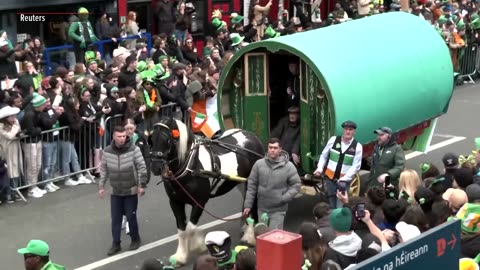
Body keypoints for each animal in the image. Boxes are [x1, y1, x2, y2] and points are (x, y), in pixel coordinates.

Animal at [149, 116, 264, 266]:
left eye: (168, 139)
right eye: (151, 139)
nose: (155, 167)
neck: (191, 166)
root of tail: (252, 137)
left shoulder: (199, 202)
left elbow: (190, 228)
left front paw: (198, 245)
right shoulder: (175, 202)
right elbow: (182, 229)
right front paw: (180, 256)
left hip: (251, 182)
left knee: (252, 204)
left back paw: (249, 237)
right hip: (240, 183)